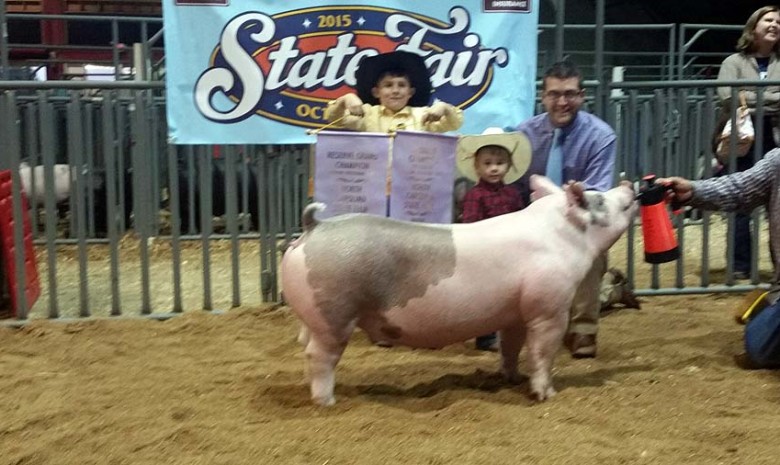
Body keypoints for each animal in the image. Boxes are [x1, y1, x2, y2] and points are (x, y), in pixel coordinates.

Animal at [284, 176, 636, 404]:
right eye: (599, 199)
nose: (629, 184)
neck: (562, 237)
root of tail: (314, 227)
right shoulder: (549, 307)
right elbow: (542, 351)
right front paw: (545, 394)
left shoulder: (516, 312)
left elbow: (511, 347)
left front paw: (511, 379)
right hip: (334, 314)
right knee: (319, 355)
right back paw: (327, 401)